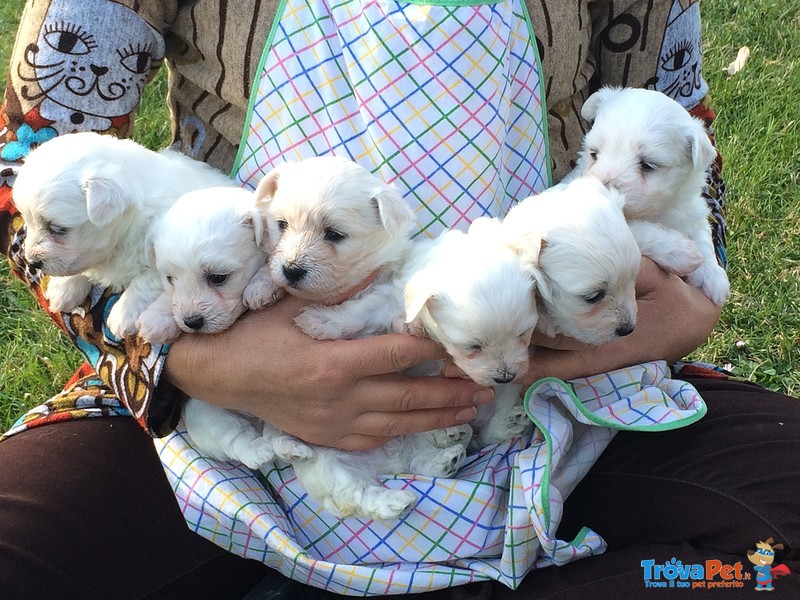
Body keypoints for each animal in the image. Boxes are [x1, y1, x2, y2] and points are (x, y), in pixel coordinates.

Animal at [13, 132, 234, 338]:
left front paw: (123, 314)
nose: (32, 262)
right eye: (26, 221)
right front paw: (64, 288)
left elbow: (146, 281)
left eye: (58, 229)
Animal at [568, 86, 732, 304]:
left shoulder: (691, 210)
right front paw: (680, 251)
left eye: (648, 165)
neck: (656, 213)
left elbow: (702, 234)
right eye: (594, 153)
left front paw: (712, 275)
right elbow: (637, 232)